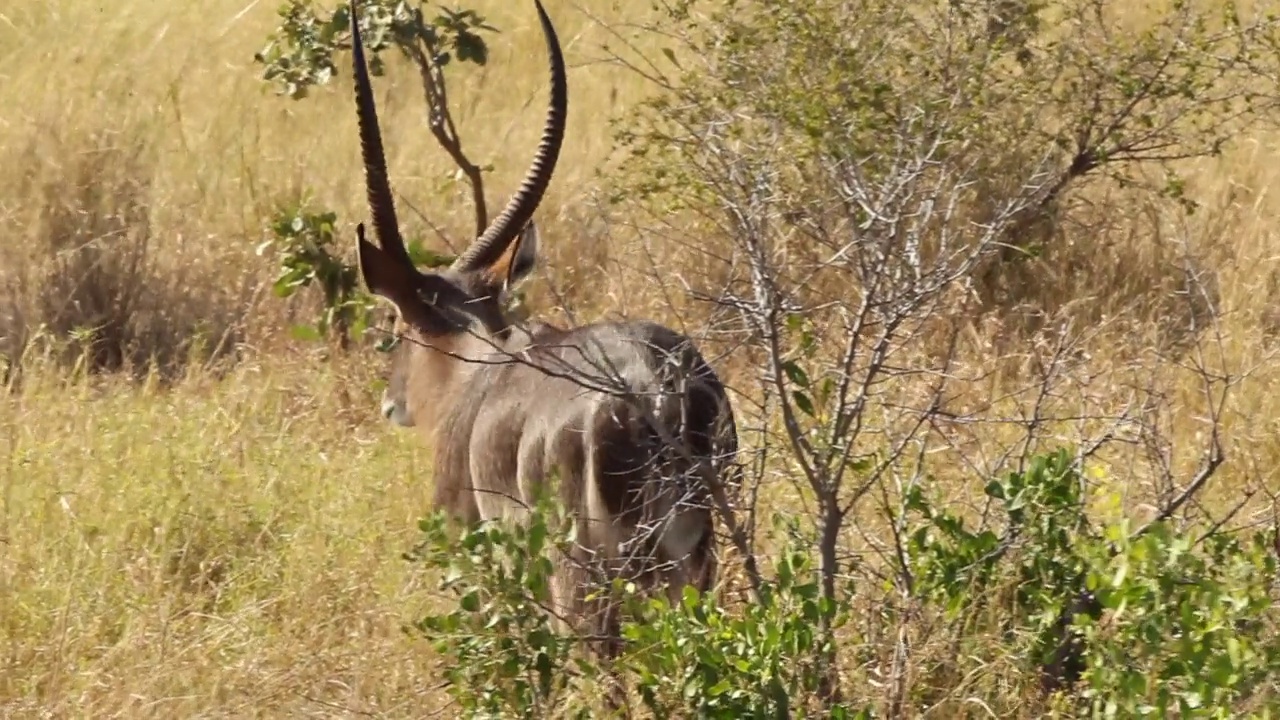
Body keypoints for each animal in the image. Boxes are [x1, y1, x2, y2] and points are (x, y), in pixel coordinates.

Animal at [345, 0, 742, 648]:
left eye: (395, 322)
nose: (390, 403)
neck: (476, 371)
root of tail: (655, 391)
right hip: (695, 561)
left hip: (582, 578)